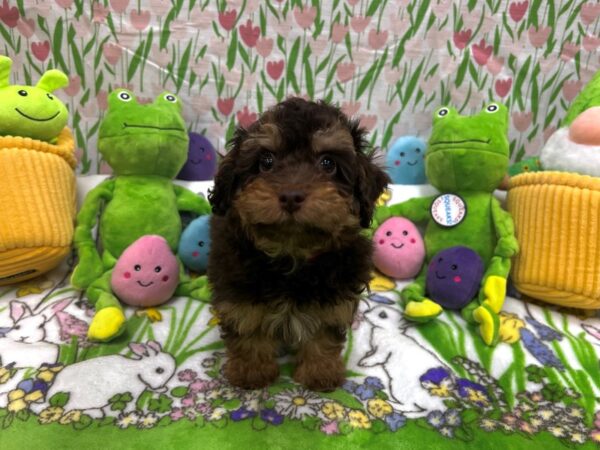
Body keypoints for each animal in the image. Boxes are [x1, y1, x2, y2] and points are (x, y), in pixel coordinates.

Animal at [209, 97, 390, 390]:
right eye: (266, 161)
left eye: (327, 163)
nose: (291, 195)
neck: (291, 255)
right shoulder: (238, 288)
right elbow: (248, 324)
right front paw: (252, 371)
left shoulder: (335, 295)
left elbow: (323, 332)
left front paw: (320, 372)